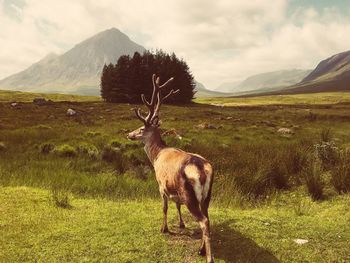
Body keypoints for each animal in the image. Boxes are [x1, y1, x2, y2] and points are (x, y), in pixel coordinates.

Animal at [126, 74, 213, 263]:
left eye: (141, 128)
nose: (128, 134)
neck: (156, 156)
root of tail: (202, 169)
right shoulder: (174, 189)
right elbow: (177, 206)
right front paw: (181, 223)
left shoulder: (161, 184)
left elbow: (164, 207)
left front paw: (164, 228)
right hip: (207, 195)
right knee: (208, 217)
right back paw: (201, 249)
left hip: (189, 194)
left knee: (203, 221)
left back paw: (208, 256)